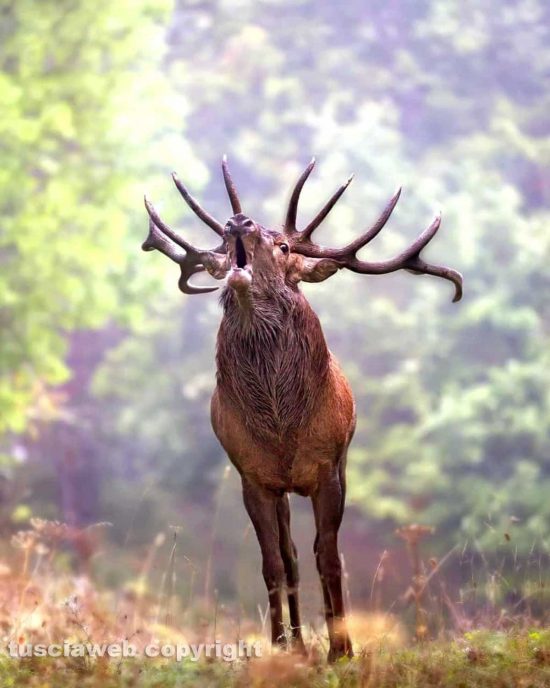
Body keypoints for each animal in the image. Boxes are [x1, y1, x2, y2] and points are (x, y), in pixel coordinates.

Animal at [142, 157, 462, 662]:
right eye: (222, 244)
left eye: (284, 245)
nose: (239, 221)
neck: (281, 426)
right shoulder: (253, 477)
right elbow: (273, 563)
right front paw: (281, 646)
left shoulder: (328, 468)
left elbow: (329, 558)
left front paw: (342, 650)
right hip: (280, 489)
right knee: (291, 555)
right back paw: (296, 644)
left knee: (312, 552)